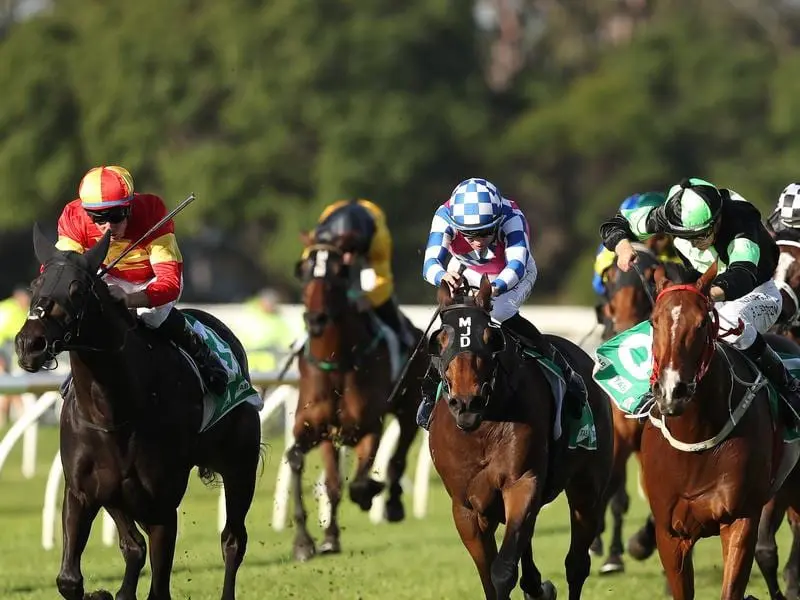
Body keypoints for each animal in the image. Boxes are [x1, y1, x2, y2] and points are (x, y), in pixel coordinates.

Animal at [14, 226, 260, 600]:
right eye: (35, 284)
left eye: (77, 288)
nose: (30, 344)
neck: (112, 411)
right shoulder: (84, 492)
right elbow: (70, 579)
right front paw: (101, 593)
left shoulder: (162, 503)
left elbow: (159, 588)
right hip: (119, 494)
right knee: (133, 547)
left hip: (239, 469)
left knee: (233, 540)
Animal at [286, 241, 428, 560]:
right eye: (304, 272)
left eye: (338, 274)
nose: (316, 319)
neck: (336, 362)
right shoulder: (316, 429)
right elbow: (301, 462)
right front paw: (307, 542)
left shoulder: (367, 427)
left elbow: (362, 480)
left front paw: (369, 494)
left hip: (410, 407)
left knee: (397, 459)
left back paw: (393, 504)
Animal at [432, 276, 612, 600]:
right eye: (440, 340)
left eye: (489, 337)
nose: (466, 403)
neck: (481, 430)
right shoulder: (466, 507)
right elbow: (489, 577)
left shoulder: (522, 482)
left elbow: (502, 571)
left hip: (587, 487)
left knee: (576, 563)